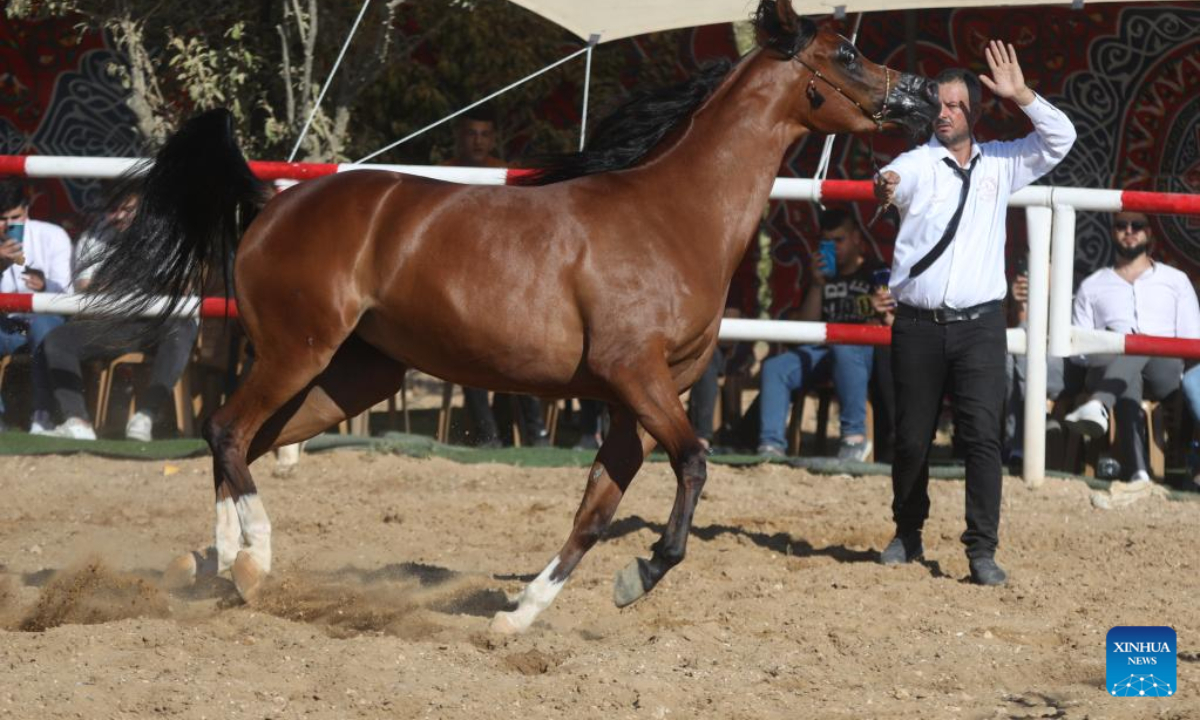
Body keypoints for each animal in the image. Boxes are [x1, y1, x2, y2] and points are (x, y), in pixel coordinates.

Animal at [88, 0, 938, 634]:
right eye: (847, 53)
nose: (928, 97)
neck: (673, 216)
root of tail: (272, 202)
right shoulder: (637, 378)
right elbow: (695, 463)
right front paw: (641, 575)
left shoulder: (633, 401)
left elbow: (595, 511)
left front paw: (519, 614)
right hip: (297, 350)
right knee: (227, 429)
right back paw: (251, 562)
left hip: (357, 375)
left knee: (246, 442)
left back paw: (212, 563)